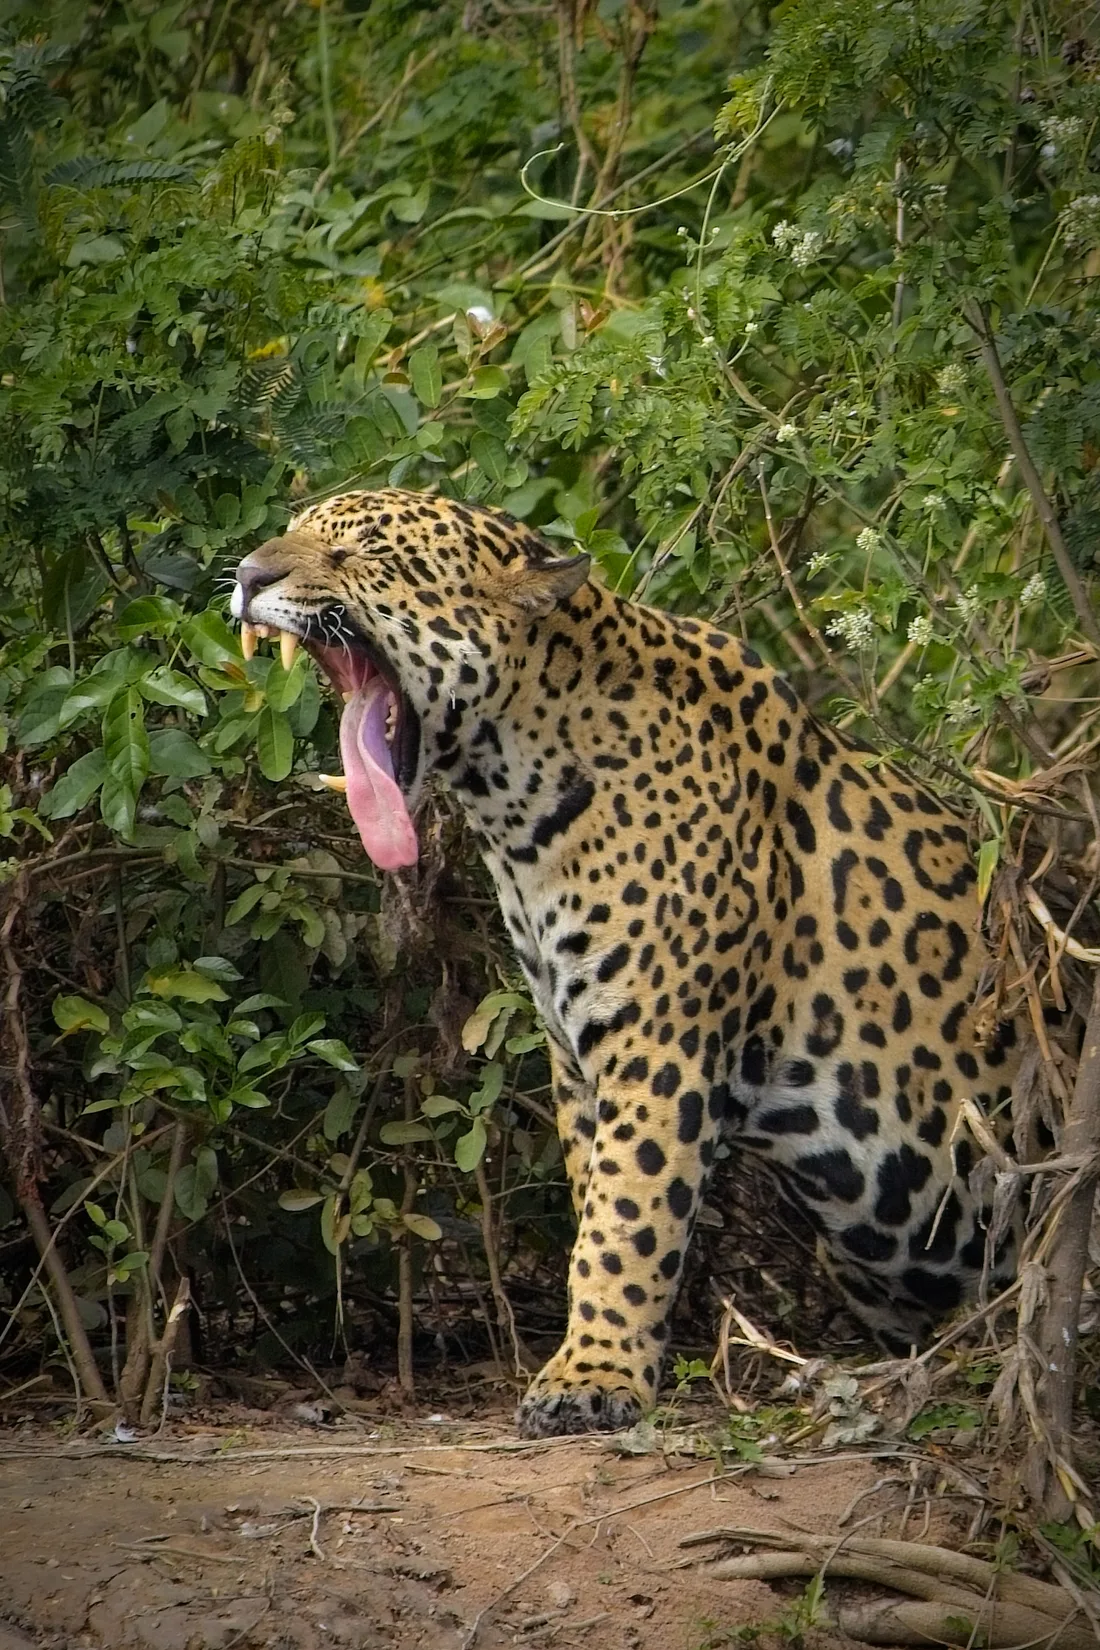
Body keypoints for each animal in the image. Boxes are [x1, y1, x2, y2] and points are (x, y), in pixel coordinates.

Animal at [231, 486, 1024, 1438]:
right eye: (292, 529)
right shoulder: (577, 1055)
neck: (519, 802)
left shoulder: (660, 1043)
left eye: (364, 555)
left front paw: (591, 1376)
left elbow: (628, 1214)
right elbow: (596, 1202)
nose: (248, 574)